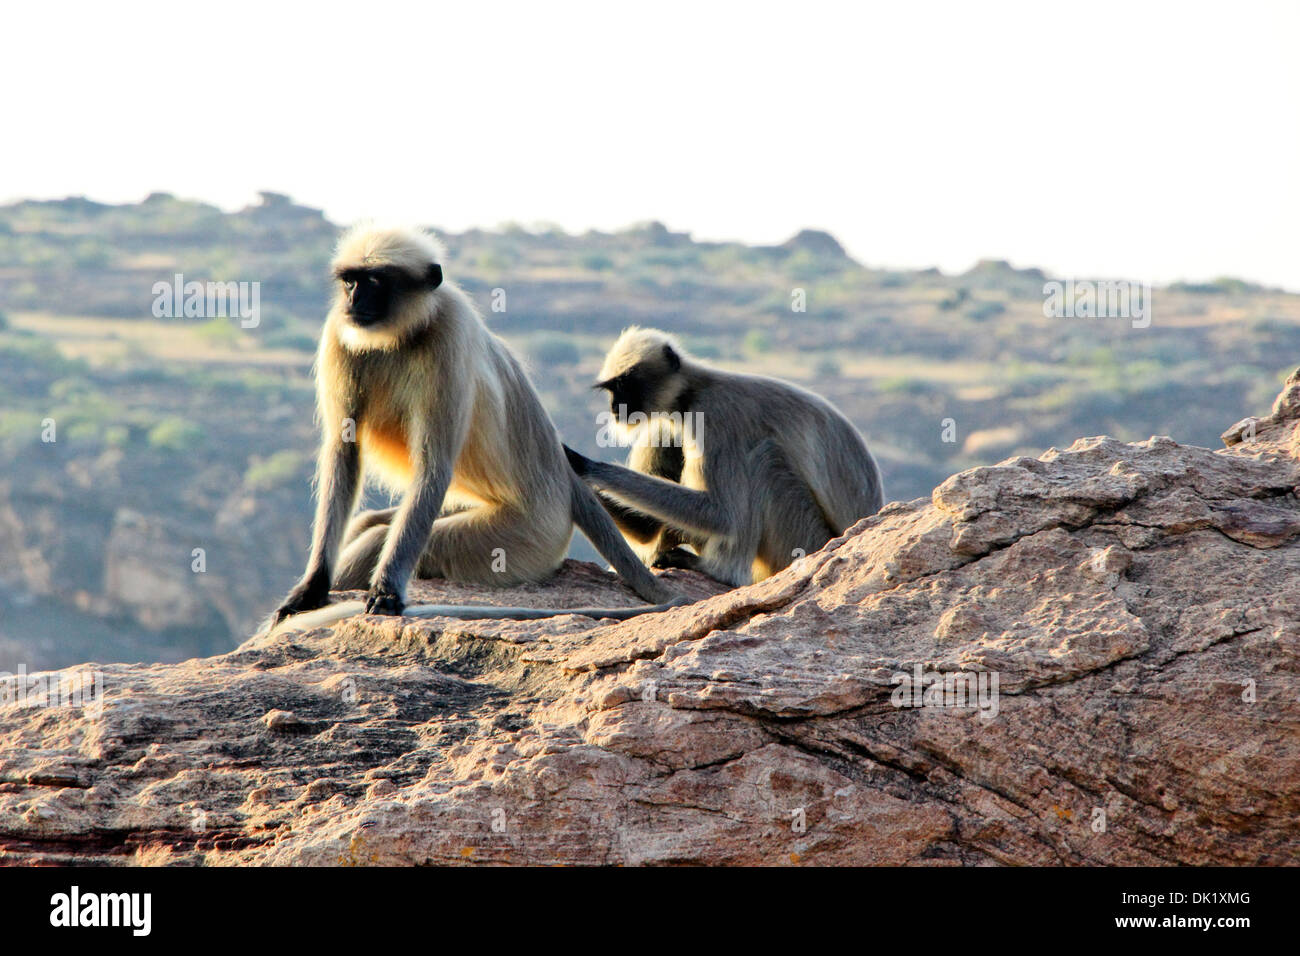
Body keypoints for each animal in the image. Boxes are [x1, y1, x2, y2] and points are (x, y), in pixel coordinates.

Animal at [270, 226, 686, 634]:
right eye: (350, 281)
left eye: (374, 281)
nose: (353, 300)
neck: (404, 332)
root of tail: (565, 484)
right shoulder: (339, 329)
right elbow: (345, 450)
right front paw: (311, 588)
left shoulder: (449, 330)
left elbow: (434, 463)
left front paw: (386, 591)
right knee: (369, 523)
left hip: (524, 538)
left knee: (376, 539)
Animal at [564, 325, 889, 587]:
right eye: (612, 388)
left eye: (624, 384)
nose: (615, 407)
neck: (690, 394)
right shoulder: (662, 424)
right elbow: (647, 528)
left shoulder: (715, 416)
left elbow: (721, 514)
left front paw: (586, 465)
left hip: (807, 541)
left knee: (764, 460)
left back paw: (720, 572)